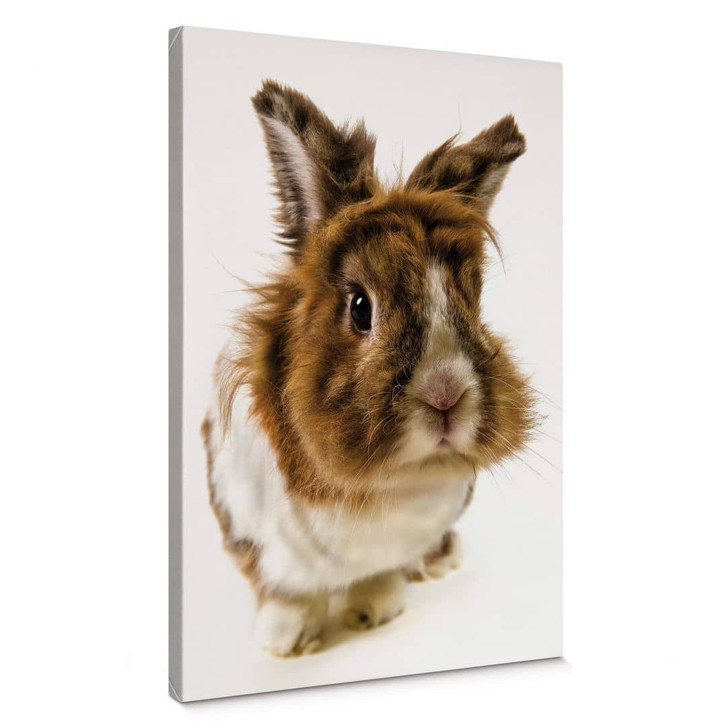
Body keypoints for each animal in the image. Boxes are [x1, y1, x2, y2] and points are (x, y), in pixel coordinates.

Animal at [201, 80, 536, 657]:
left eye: (472, 303)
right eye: (361, 308)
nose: (446, 396)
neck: (382, 487)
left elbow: (382, 576)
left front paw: (372, 613)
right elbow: (286, 594)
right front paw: (286, 643)